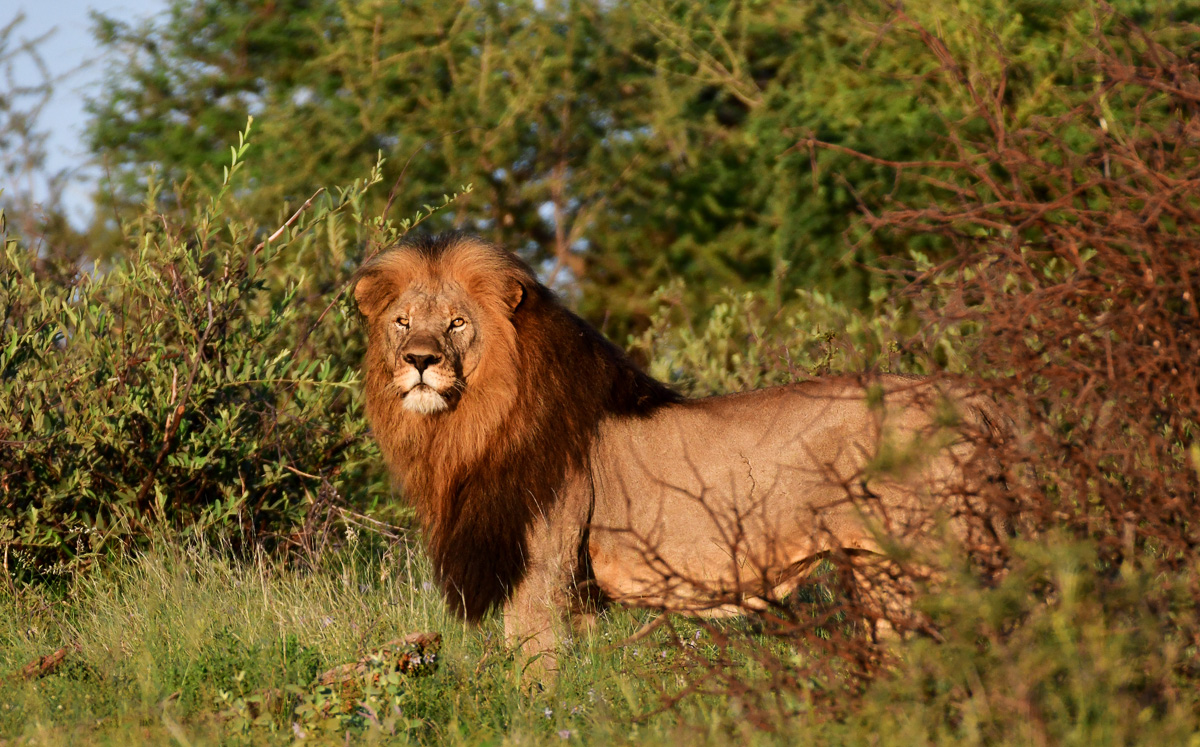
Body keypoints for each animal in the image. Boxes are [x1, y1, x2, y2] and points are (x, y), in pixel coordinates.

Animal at [354, 233, 1002, 674]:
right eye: (402, 321)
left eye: (457, 323)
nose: (419, 361)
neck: (463, 429)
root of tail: (975, 396)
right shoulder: (578, 584)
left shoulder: (541, 565)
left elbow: (534, 669)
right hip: (881, 568)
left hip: (937, 556)